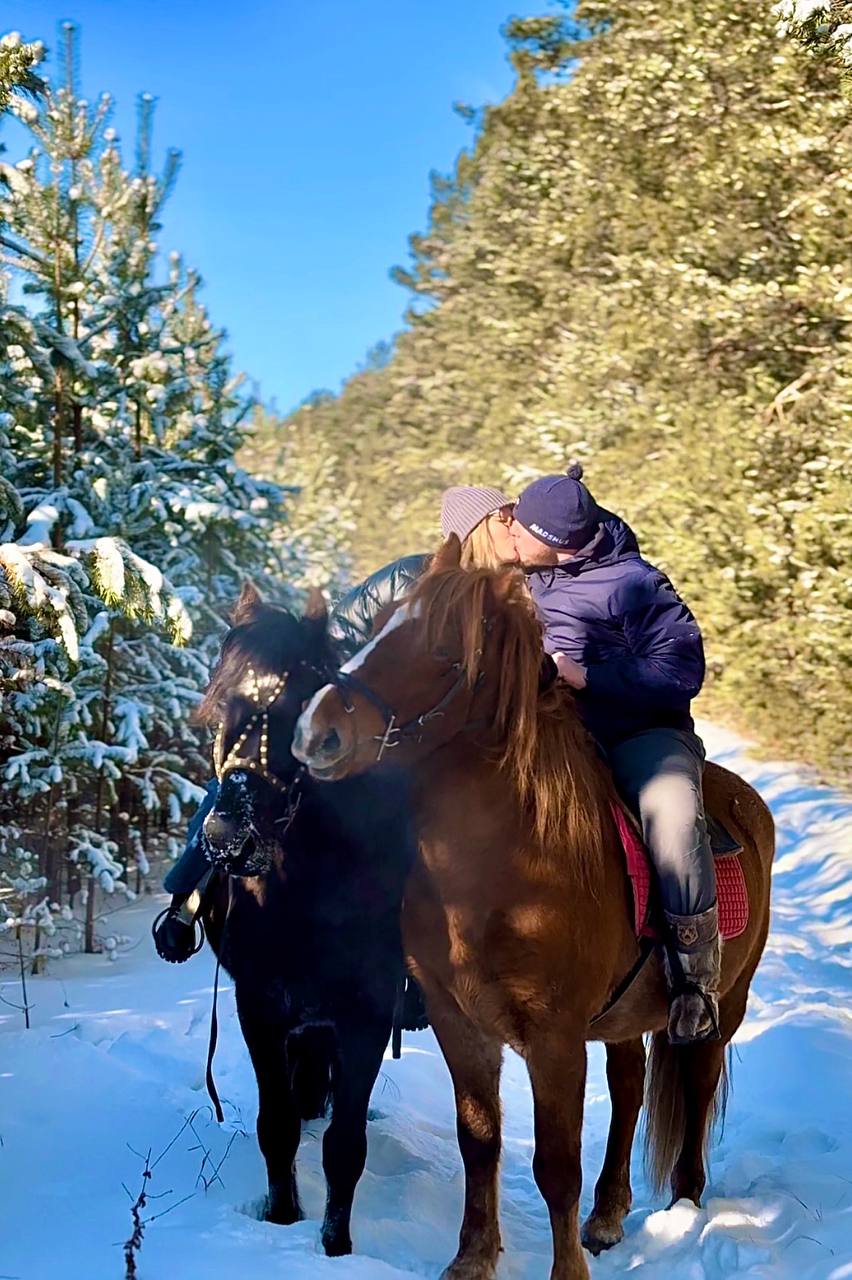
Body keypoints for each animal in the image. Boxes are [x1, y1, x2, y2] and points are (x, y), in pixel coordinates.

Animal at [290, 540, 767, 1280]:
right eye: (379, 624)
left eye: (444, 651)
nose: (318, 732)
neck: (507, 865)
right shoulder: (460, 1025)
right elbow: (479, 1143)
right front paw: (472, 1258)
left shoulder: (555, 1039)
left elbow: (556, 1167)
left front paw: (564, 1270)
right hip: (625, 1018)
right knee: (629, 1087)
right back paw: (608, 1216)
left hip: (725, 1006)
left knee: (695, 1084)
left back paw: (684, 1209)